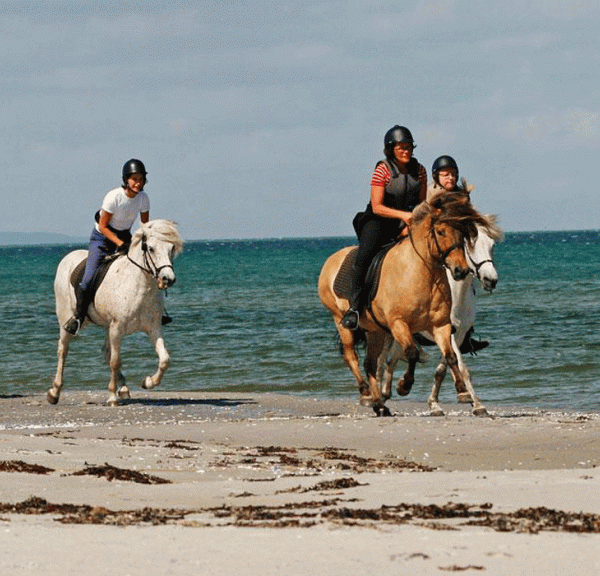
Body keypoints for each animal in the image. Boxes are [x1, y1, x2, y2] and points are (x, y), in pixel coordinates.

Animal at [48, 218, 183, 408]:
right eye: (151, 248)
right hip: (66, 319)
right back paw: (54, 392)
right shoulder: (117, 328)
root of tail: (68, 257)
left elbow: (164, 360)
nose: (168, 279)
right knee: (63, 350)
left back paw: (124, 388)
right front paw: (112, 396)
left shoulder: (154, 328)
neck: (139, 286)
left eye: (171, 248)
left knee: (106, 351)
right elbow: (115, 361)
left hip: (107, 326)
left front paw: (148, 382)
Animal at [316, 192, 490, 414]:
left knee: (370, 363)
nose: (460, 270)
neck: (423, 273)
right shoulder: (399, 324)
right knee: (352, 356)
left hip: (375, 330)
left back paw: (379, 405)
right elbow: (412, 353)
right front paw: (404, 385)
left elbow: (450, 358)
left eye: (463, 234)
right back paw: (366, 394)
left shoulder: (441, 325)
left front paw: (463, 392)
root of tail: (331, 260)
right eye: (440, 231)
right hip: (342, 321)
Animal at [380, 218, 502, 416]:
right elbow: (462, 367)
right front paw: (475, 403)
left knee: (392, 359)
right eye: (470, 245)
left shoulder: (457, 335)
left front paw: (435, 404)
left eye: (492, 245)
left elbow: (442, 370)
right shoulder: (448, 332)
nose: (490, 280)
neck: (456, 293)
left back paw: (389, 391)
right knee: (383, 360)